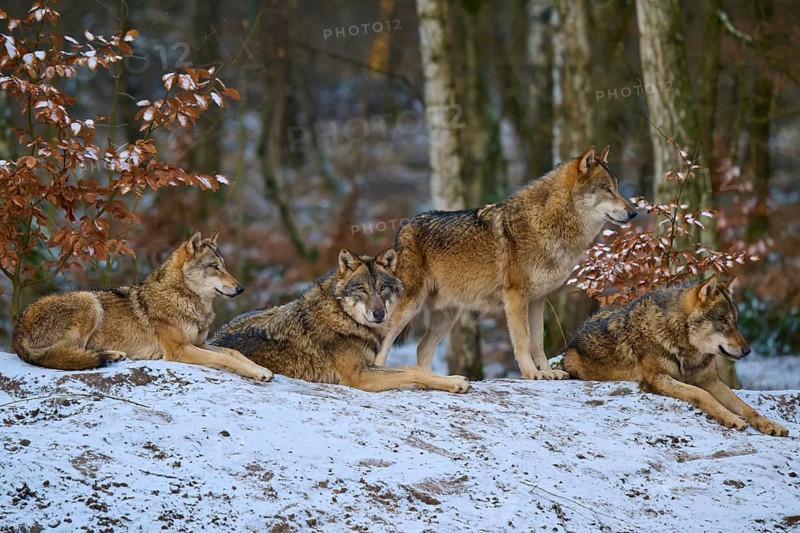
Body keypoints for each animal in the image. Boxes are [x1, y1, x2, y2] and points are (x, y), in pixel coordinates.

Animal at [12, 231, 274, 382]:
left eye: (224, 266)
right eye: (214, 267)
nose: (241, 288)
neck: (184, 298)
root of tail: (17, 331)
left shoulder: (197, 343)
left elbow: (233, 352)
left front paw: (260, 368)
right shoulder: (178, 350)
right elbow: (225, 358)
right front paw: (258, 373)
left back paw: (113, 355)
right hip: (90, 302)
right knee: (60, 355)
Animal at [209, 248, 470, 393]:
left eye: (382, 288)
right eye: (362, 289)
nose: (379, 314)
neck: (343, 317)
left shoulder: (370, 365)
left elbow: (412, 368)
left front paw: (452, 379)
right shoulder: (359, 376)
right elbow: (413, 373)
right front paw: (454, 383)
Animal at [373, 146, 636, 379]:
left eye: (617, 189)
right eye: (607, 189)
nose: (633, 213)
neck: (547, 224)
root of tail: (403, 227)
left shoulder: (538, 299)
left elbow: (538, 342)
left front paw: (548, 372)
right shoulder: (515, 298)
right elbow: (523, 341)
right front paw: (531, 373)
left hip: (448, 317)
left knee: (422, 349)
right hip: (409, 307)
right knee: (384, 343)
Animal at [563, 276, 788, 436]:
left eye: (736, 322)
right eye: (723, 321)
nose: (748, 351)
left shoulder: (711, 380)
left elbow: (746, 407)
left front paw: (770, 424)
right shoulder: (657, 378)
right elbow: (702, 395)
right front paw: (731, 418)